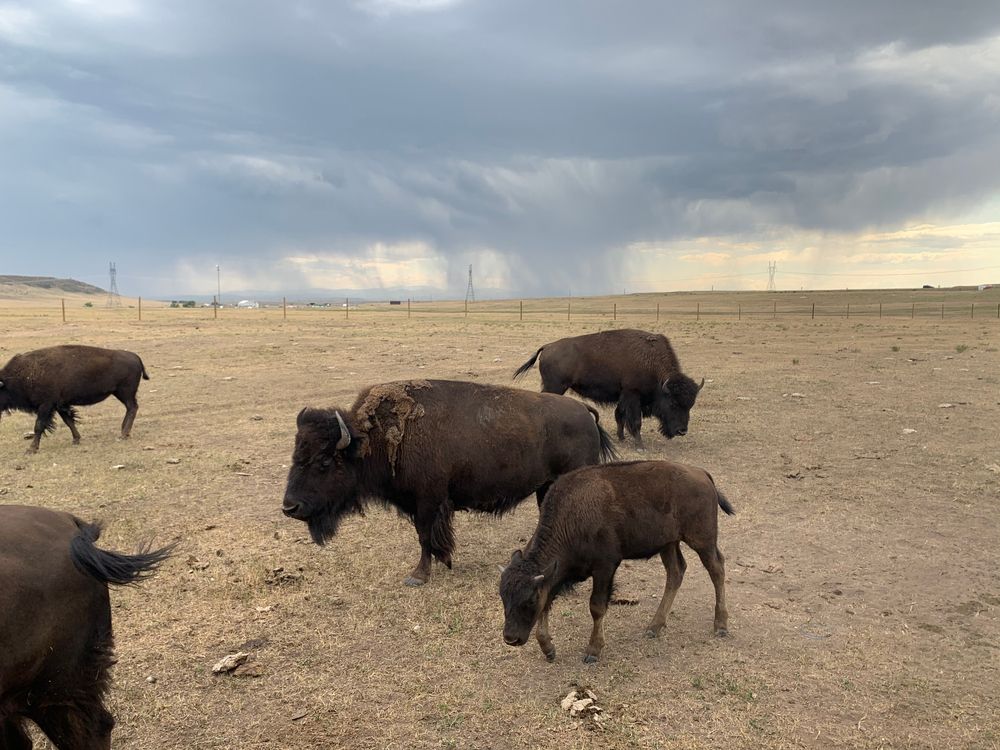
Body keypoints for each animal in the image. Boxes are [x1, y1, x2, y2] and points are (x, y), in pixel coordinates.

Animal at [0, 345, 150, 453]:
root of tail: (135, 356)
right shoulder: (60, 405)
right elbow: (69, 421)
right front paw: (76, 440)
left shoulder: (46, 405)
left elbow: (39, 426)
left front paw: (31, 449)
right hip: (120, 393)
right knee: (131, 408)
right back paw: (124, 432)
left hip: (125, 392)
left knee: (132, 408)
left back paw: (123, 434)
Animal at [282, 379, 617, 586]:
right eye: (296, 454)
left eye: (325, 461)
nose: (289, 507)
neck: (372, 439)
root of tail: (584, 412)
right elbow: (427, 536)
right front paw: (442, 562)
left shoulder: (428, 501)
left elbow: (425, 536)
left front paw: (418, 575)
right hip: (546, 487)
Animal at [500, 460, 733, 663]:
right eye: (503, 596)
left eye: (530, 600)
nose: (511, 638)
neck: (571, 518)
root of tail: (702, 474)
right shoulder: (553, 578)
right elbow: (547, 604)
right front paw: (548, 649)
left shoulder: (605, 567)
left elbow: (597, 606)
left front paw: (593, 651)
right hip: (668, 544)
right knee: (676, 572)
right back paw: (654, 627)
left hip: (702, 540)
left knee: (717, 569)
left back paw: (720, 626)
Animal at [513, 328, 704, 448]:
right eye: (673, 404)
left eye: (691, 405)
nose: (682, 430)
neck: (651, 362)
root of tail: (547, 347)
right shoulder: (632, 395)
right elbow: (635, 421)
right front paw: (640, 445)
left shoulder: (623, 396)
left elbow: (619, 416)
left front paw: (621, 438)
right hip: (555, 386)